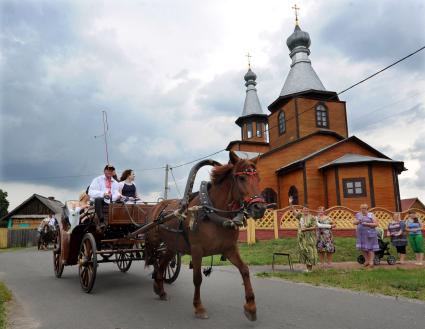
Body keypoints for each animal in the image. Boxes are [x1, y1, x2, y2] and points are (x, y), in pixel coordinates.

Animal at [145, 152, 264, 320]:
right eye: (241, 178)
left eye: (258, 178)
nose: (260, 208)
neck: (212, 211)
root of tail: (158, 205)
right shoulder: (197, 250)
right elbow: (197, 278)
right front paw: (198, 307)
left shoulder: (229, 249)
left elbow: (245, 270)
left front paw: (251, 307)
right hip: (154, 241)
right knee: (154, 260)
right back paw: (157, 283)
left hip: (172, 246)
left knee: (162, 263)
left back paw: (160, 290)